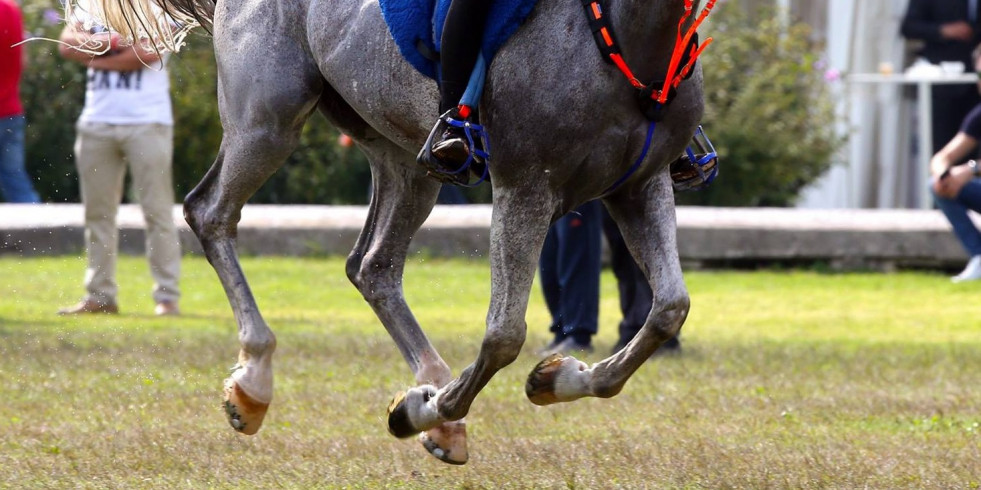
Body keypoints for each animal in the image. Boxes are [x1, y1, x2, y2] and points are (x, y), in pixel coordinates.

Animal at [80, 0, 704, 464]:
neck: (628, 32)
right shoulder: (526, 187)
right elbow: (504, 335)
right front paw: (422, 410)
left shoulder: (641, 186)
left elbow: (668, 308)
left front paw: (556, 380)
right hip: (267, 122)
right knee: (211, 212)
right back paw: (256, 379)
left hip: (404, 158)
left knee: (373, 266)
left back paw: (431, 388)